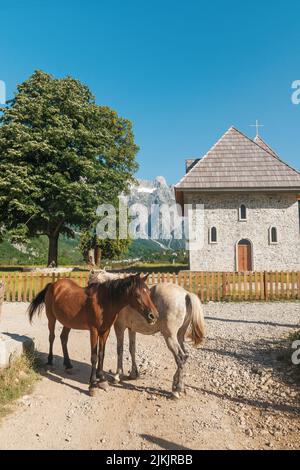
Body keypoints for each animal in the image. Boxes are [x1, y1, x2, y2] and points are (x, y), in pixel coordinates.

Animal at [28, 274, 158, 394]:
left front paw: (102, 379)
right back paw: (50, 362)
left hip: (68, 322)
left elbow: (101, 354)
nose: (154, 315)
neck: (104, 302)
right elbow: (94, 357)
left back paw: (68, 365)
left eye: (148, 292)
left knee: (63, 338)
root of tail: (53, 285)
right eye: (137, 295)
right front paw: (92, 384)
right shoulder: (94, 331)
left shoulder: (105, 331)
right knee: (52, 337)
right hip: (51, 318)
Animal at [89, 270, 205, 398]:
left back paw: (177, 389)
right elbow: (132, 349)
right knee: (185, 356)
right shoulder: (131, 329)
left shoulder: (119, 327)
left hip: (170, 337)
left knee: (181, 357)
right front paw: (134, 373)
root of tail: (185, 294)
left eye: (91, 285)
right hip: (179, 336)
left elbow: (120, 350)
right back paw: (178, 385)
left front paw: (118, 375)